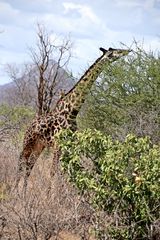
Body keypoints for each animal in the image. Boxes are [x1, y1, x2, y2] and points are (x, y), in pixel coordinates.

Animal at [17, 47, 130, 185]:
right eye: (115, 52)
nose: (128, 50)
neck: (72, 111)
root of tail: (30, 125)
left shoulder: (70, 144)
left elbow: (65, 172)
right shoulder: (58, 144)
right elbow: (53, 172)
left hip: (39, 146)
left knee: (29, 167)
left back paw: (23, 189)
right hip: (27, 143)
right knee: (21, 163)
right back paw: (15, 189)